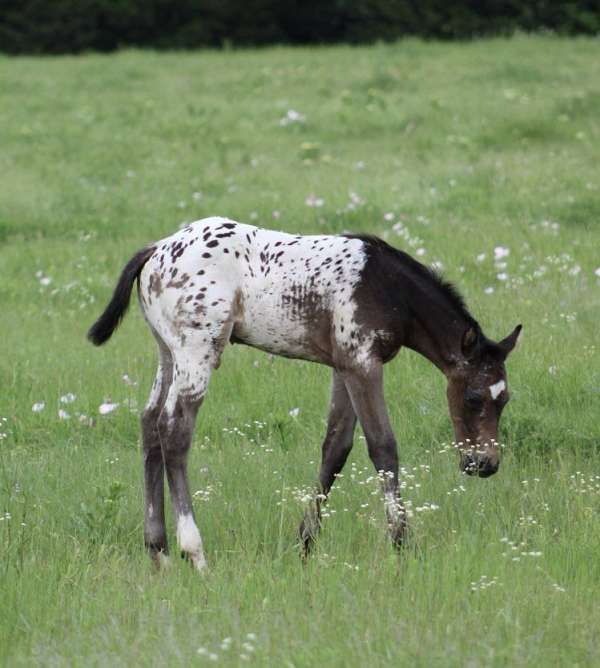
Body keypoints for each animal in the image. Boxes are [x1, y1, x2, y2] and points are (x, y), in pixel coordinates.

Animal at [89, 217, 520, 572]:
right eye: (474, 398)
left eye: (505, 400)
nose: (485, 465)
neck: (386, 288)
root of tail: (156, 249)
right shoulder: (362, 363)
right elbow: (383, 447)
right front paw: (402, 543)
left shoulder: (344, 367)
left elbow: (336, 449)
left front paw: (306, 543)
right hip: (198, 350)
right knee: (174, 431)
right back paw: (194, 553)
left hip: (168, 351)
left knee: (149, 425)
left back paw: (158, 552)